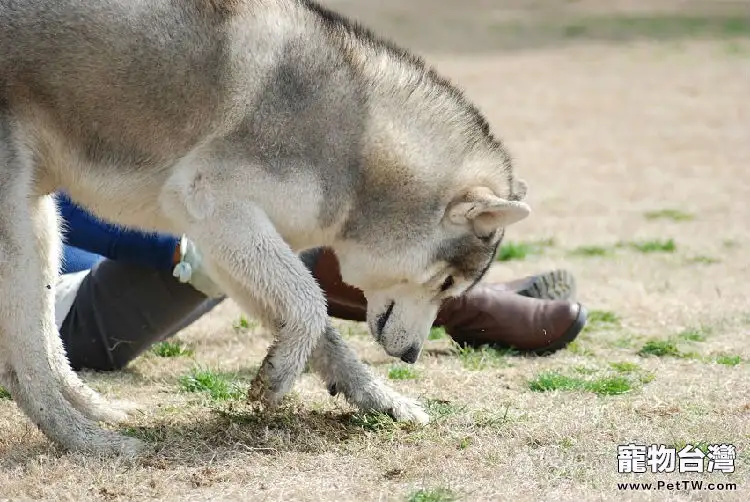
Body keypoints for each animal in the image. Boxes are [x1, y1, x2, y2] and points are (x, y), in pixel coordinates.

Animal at [0, 0, 528, 454]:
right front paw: (278, 381)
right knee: (21, 369)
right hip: (19, 239)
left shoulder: (220, 245)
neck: (357, 147)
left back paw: (97, 410)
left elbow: (317, 328)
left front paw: (381, 400)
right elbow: (311, 301)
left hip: (46, 228)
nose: (414, 356)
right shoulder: (215, 203)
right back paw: (89, 441)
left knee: (46, 344)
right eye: (446, 283)